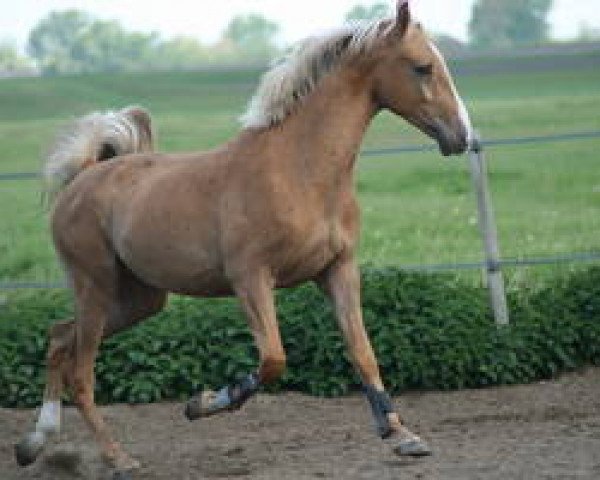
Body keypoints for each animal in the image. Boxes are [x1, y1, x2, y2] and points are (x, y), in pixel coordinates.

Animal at [16, 2, 472, 476]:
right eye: (422, 67)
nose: (460, 136)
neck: (300, 171)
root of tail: (83, 176)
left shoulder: (338, 270)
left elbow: (363, 353)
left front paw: (403, 436)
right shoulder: (251, 278)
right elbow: (273, 360)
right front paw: (202, 403)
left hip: (137, 299)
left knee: (58, 339)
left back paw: (33, 445)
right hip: (97, 287)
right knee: (79, 372)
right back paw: (116, 457)